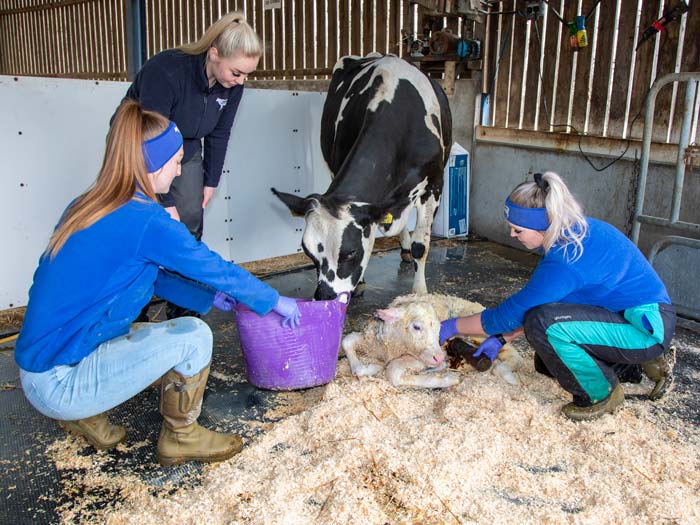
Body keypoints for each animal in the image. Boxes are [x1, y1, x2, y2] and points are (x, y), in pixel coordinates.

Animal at [270, 54, 452, 298]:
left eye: (351, 251)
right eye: (309, 253)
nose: (324, 296)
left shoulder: (433, 186)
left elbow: (420, 247)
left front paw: (420, 293)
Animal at [342, 292, 524, 386]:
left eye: (439, 328)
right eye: (416, 327)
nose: (440, 358)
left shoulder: (422, 358)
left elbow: (393, 371)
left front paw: (446, 378)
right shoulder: (370, 340)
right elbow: (347, 341)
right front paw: (366, 368)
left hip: (482, 331)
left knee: (513, 354)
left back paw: (506, 373)